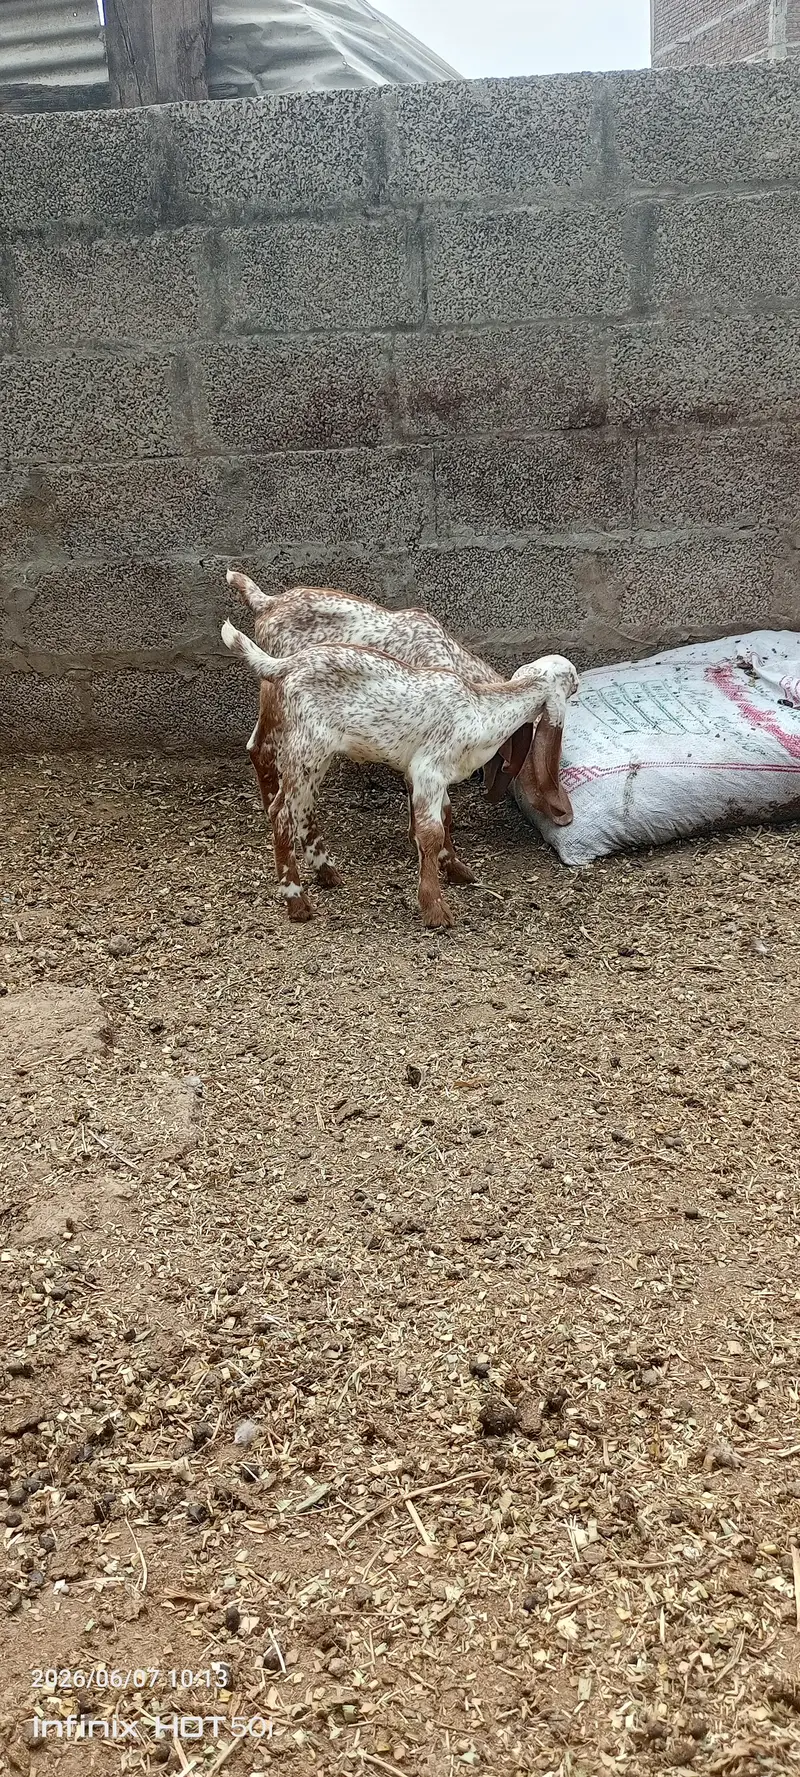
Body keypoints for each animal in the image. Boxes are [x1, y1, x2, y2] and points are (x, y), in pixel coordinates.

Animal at [226, 569, 573, 890]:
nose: (562, 815)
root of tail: (267, 602)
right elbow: (439, 808)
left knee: (260, 752)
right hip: (281, 704)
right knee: (264, 753)